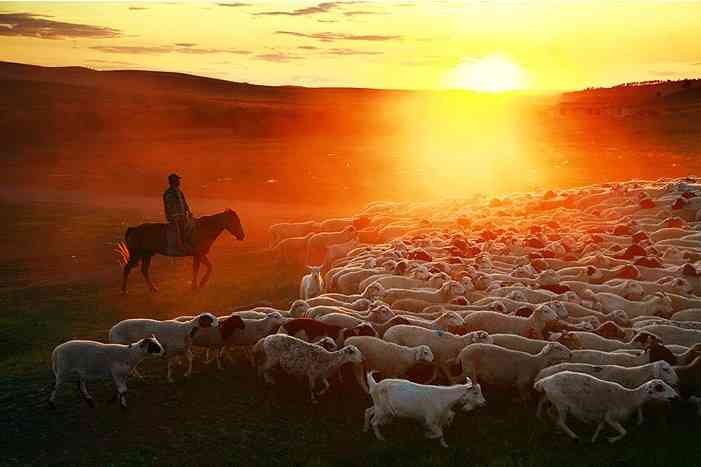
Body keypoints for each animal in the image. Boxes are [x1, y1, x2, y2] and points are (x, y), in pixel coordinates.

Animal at [116, 209, 245, 294]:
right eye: (235, 221)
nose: (242, 236)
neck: (203, 229)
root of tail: (134, 229)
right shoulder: (197, 254)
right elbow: (198, 268)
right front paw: (197, 285)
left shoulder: (200, 254)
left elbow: (208, 266)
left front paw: (200, 283)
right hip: (136, 254)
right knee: (127, 269)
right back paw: (124, 290)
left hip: (147, 255)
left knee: (144, 271)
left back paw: (153, 288)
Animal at [532, 372, 676, 442]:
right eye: (660, 388)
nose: (675, 396)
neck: (629, 397)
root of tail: (544, 381)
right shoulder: (611, 417)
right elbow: (624, 432)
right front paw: (611, 440)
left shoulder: (604, 416)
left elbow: (600, 427)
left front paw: (594, 439)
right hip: (562, 404)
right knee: (560, 421)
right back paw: (574, 437)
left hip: (553, 400)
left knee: (549, 411)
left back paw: (554, 428)